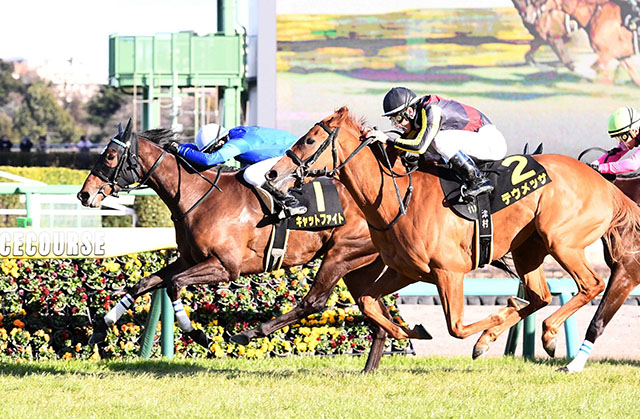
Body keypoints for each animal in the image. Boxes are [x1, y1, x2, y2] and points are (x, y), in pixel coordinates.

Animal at [79, 120, 430, 372]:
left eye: (110, 156)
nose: (84, 194)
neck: (199, 196)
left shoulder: (225, 266)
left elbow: (174, 285)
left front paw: (199, 334)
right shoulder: (188, 259)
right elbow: (143, 284)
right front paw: (101, 327)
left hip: (341, 255)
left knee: (314, 302)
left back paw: (248, 334)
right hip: (359, 267)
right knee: (373, 307)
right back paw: (372, 367)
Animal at [264, 106, 640, 360]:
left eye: (309, 139)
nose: (271, 173)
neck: (399, 198)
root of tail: (606, 185)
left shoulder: (450, 271)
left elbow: (456, 327)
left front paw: (488, 324)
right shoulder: (408, 270)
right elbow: (370, 303)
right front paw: (414, 330)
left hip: (561, 241)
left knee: (590, 285)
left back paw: (546, 334)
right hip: (529, 249)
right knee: (540, 296)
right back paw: (512, 335)